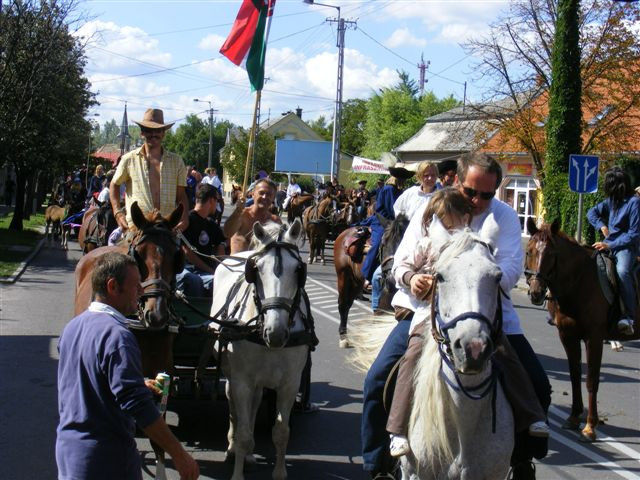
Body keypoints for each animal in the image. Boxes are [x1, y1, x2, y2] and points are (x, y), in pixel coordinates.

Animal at [212, 220, 312, 480]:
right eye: (256, 270)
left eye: (298, 270)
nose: (275, 333)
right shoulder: (242, 382)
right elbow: (244, 432)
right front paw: (237, 472)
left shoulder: (289, 384)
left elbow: (281, 432)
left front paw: (279, 473)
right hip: (233, 374)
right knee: (234, 407)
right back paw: (233, 448)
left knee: (255, 405)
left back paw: (247, 454)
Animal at [524, 218, 636, 442]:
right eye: (529, 251)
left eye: (552, 254)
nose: (536, 293)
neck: (580, 281)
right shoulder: (567, 336)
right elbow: (575, 374)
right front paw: (574, 417)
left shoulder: (594, 337)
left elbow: (591, 380)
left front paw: (590, 426)